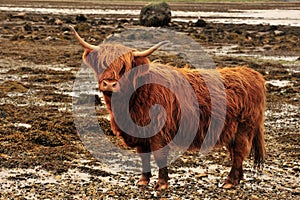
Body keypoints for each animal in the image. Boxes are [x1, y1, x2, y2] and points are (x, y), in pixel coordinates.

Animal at [69, 25, 264, 191]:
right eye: (102, 64)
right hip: (233, 131)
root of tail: (252, 74)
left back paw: (230, 181)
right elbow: (144, 155)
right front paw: (143, 180)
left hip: (244, 129)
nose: (109, 84)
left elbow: (159, 156)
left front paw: (162, 183)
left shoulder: (158, 131)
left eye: (124, 67)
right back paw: (237, 179)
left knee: (239, 153)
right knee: (236, 154)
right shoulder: (141, 133)